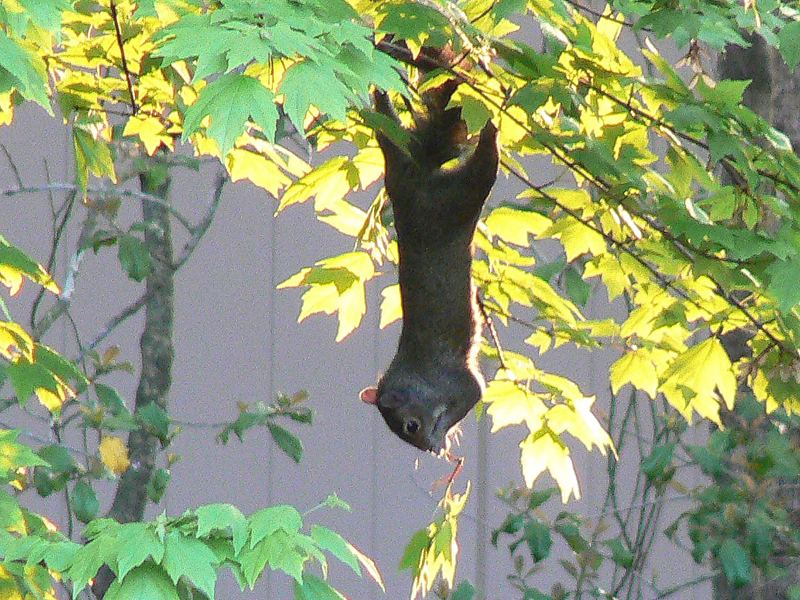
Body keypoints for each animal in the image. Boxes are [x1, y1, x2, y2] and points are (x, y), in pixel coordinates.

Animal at [360, 45, 500, 453]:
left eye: (411, 425)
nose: (431, 449)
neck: (419, 380)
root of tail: (417, 180)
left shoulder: (458, 383)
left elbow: (474, 392)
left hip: (458, 200)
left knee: (485, 166)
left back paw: (491, 128)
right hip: (404, 168)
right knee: (386, 125)